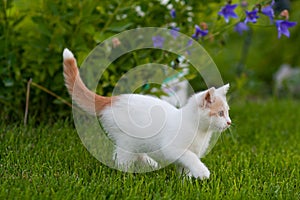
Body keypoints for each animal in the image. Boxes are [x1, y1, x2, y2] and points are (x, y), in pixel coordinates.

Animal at [62, 48, 232, 180]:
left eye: (227, 112)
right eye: (220, 113)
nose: (229, 122)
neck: (200, 131)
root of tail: (111, 99)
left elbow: (185, 167)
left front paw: (186, 181)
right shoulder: (173, 148)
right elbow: (190, 157)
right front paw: (202, 172)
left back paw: (150, 164)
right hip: (127, 141)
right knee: (121, 159)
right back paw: (126, 177)